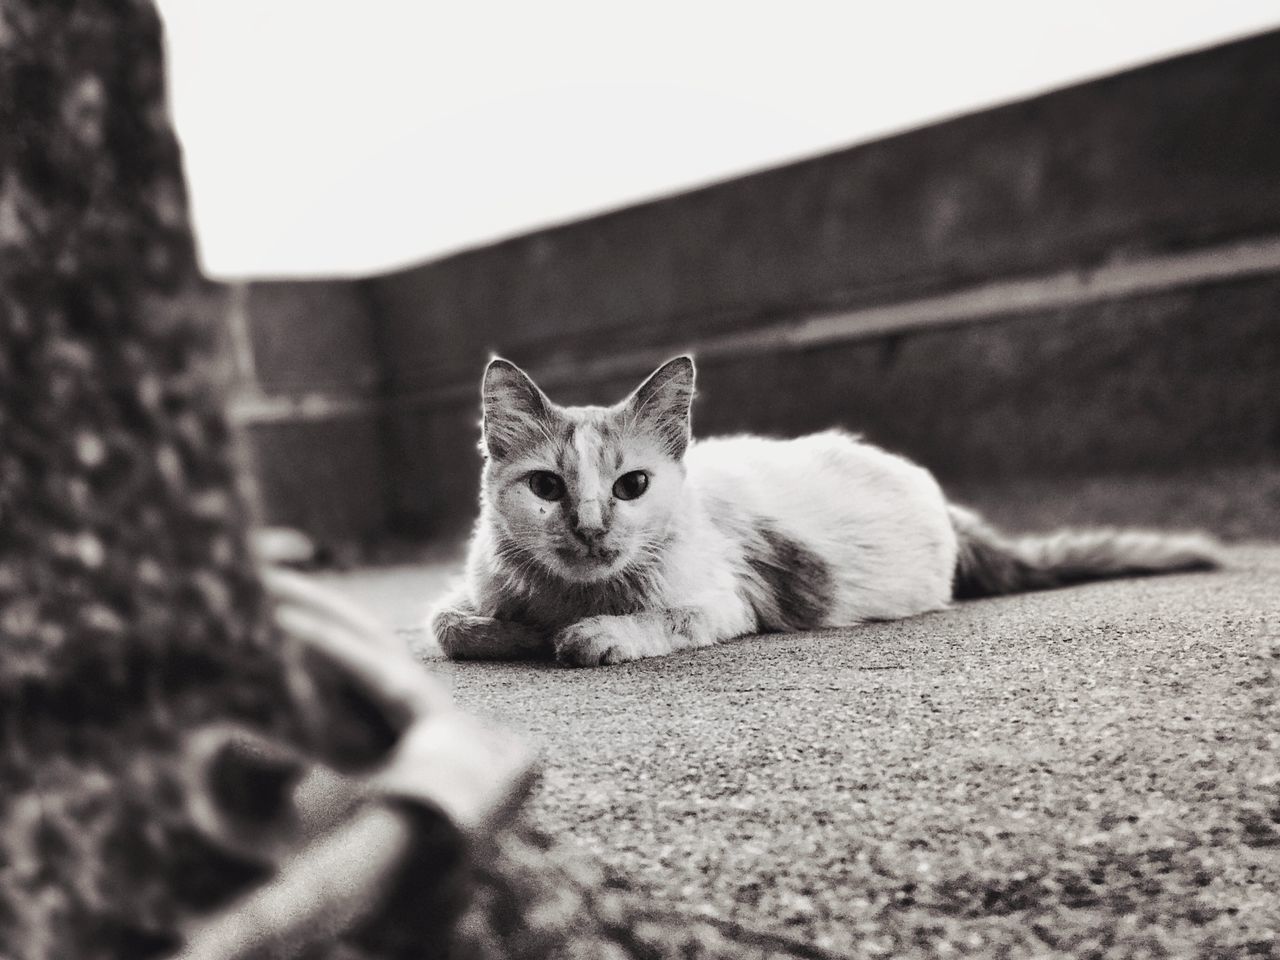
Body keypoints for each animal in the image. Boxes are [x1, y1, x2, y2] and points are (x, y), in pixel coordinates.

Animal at [427, 355, 1218, 670]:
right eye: (546, 488)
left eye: (632, 486)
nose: (591, 529)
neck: (571, 593)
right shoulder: (467, 588)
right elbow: (451, 626)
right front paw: (521, 632)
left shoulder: (727, 601)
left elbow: (655, 619)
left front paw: (590, 635)